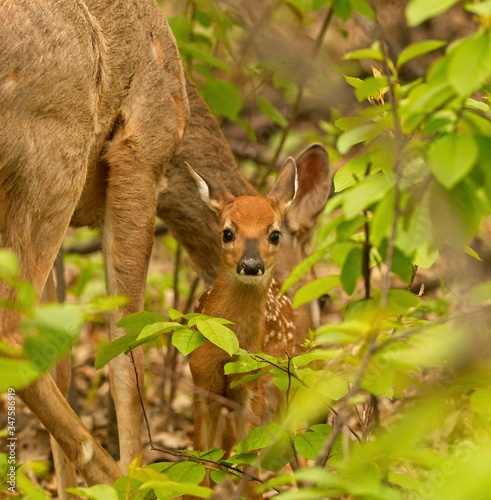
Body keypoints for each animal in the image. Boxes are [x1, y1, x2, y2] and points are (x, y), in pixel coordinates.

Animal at [0, 0, 187, 488]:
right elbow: (127, 346)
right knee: (12, 329)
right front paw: (137, 477)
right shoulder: (140, 152)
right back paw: (114, 478)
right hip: (55, 151)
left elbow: (64, 358)